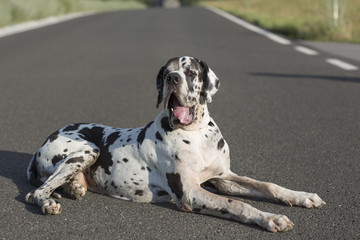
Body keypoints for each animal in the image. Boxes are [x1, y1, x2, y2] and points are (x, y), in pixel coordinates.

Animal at [25, 56, 324, 232]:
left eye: (190, 72)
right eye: (166, 73)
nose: (173, 78)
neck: (197, 132)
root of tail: (43, 141)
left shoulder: (223, 178)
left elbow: (267, 186)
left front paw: (302, 196)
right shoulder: (189, 193)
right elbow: (236, 204)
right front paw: (270, 218)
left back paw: (75, 186)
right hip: (89, 148)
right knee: (36, 191)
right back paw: (49, 201)